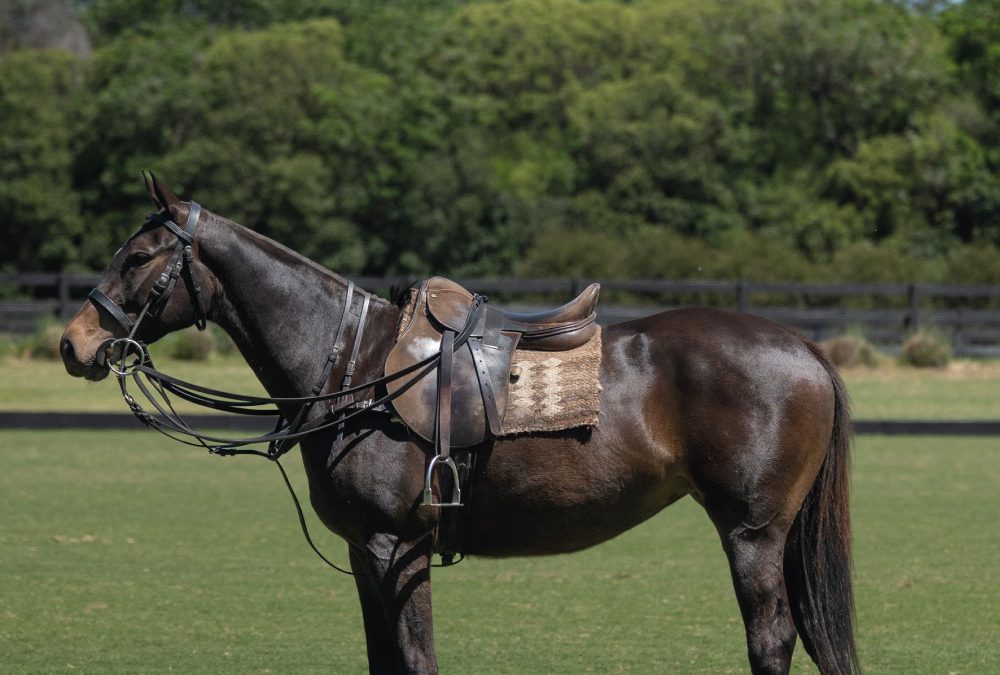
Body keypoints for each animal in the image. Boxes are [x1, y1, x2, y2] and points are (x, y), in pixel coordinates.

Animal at [60, 176, 860, 675]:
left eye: (138, 256)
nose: (74, 343)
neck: (353, 365)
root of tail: (808, 350)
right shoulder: (364, 552)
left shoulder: (398, 545)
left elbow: (416, 658)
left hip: (753, 530)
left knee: (771, 637)